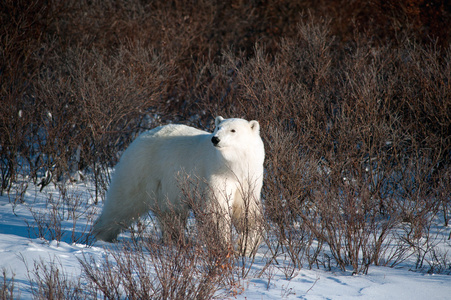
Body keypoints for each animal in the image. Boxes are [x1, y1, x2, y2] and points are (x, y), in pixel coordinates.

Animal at [93, 116, 266, 254]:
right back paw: (101, 236)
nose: (215, 139)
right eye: (218, 127)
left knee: (170, 213)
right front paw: (223, 246)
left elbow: (247, 211)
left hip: (165, 186)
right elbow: (217, 209)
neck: (233, 166)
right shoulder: (215, 174)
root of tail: (139, 137)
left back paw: (175, 240)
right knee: (123, 203)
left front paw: (246, 246)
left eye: (233, 130)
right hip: (142, 169)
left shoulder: (249, 179)